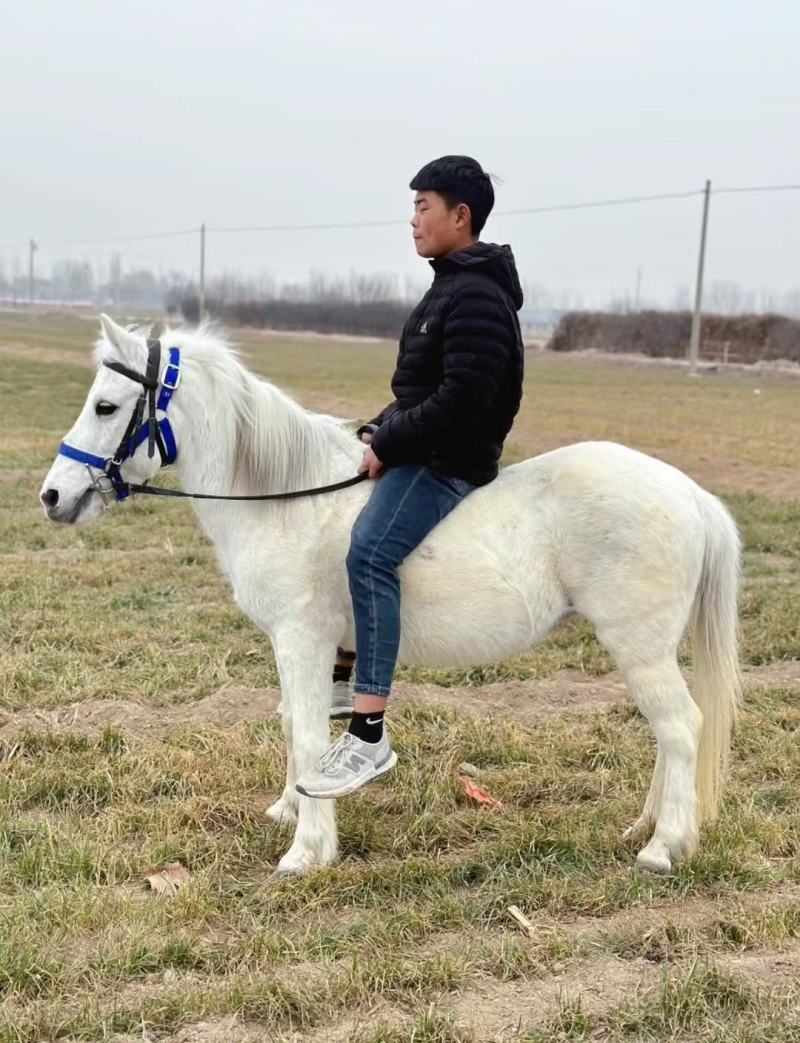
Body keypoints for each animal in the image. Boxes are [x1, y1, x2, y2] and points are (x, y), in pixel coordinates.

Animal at [40, 314, 742, 876]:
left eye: (106, 407)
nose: (52, 496)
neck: (282, 497)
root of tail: (690, 493)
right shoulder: (302, 648)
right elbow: (296, 722)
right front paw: (290, 806)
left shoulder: (302, 639)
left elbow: (308, 735)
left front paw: (306, 850)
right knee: (668, 733)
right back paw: (645, 827)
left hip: (638, 646)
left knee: (681, 727)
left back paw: (664, 847)